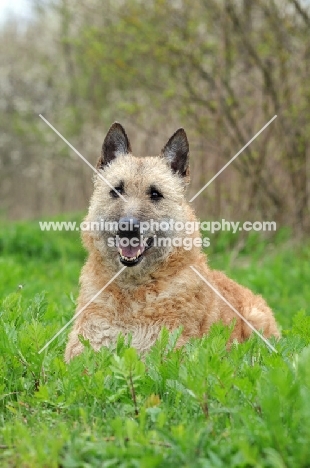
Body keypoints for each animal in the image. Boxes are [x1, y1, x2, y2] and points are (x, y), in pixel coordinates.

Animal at [64, 121, 280, 362]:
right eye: (117, 191)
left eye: (155, 194)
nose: (128, 228)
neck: (132, 291)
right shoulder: (83, 350)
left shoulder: (164, 352)